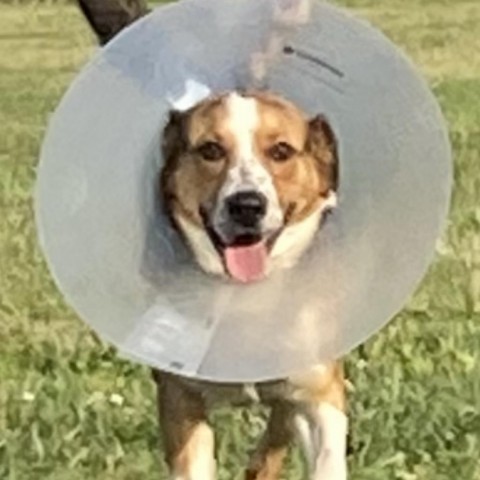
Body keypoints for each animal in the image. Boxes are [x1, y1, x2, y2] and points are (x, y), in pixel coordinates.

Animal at [154, 91, 344, 480]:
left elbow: (328, 455)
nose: (246, 205)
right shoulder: (178, 398)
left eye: (281, 151)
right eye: (210, 149)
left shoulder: (321, 389)